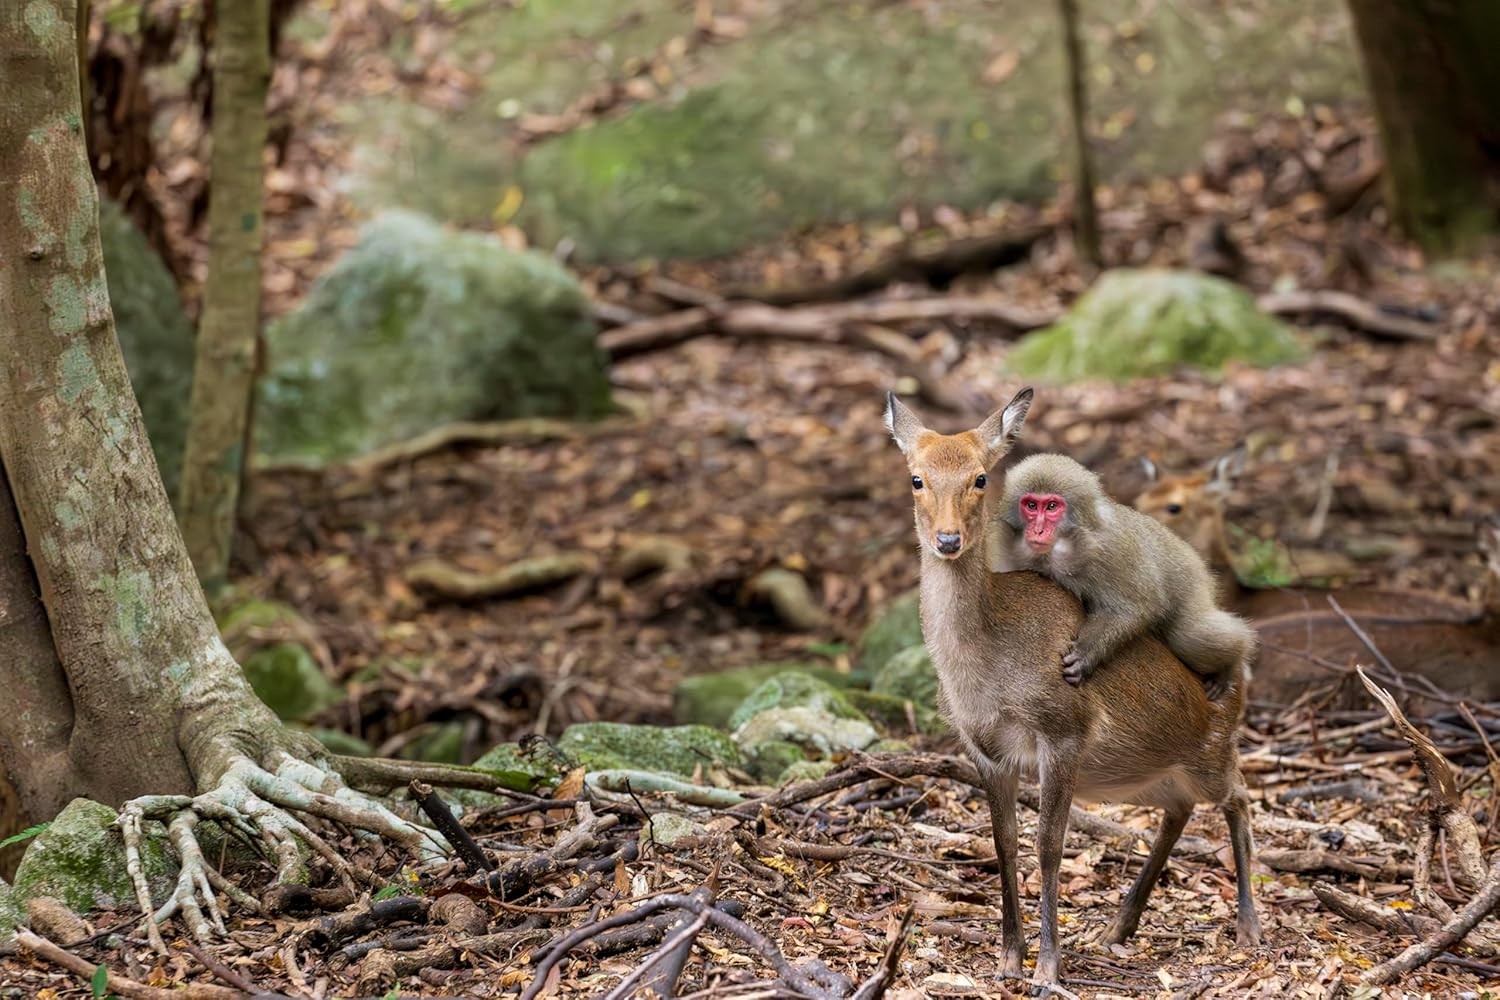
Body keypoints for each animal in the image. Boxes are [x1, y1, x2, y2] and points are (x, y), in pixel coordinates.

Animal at [993, 453, 1255, 699]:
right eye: (1030, 505)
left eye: (1051, 507)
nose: (1037, 530)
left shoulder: (1111, 550)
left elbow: (1136, 607)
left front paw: (1086, 654)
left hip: (1192, 584)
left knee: (1187, 637)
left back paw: (1232, 662)